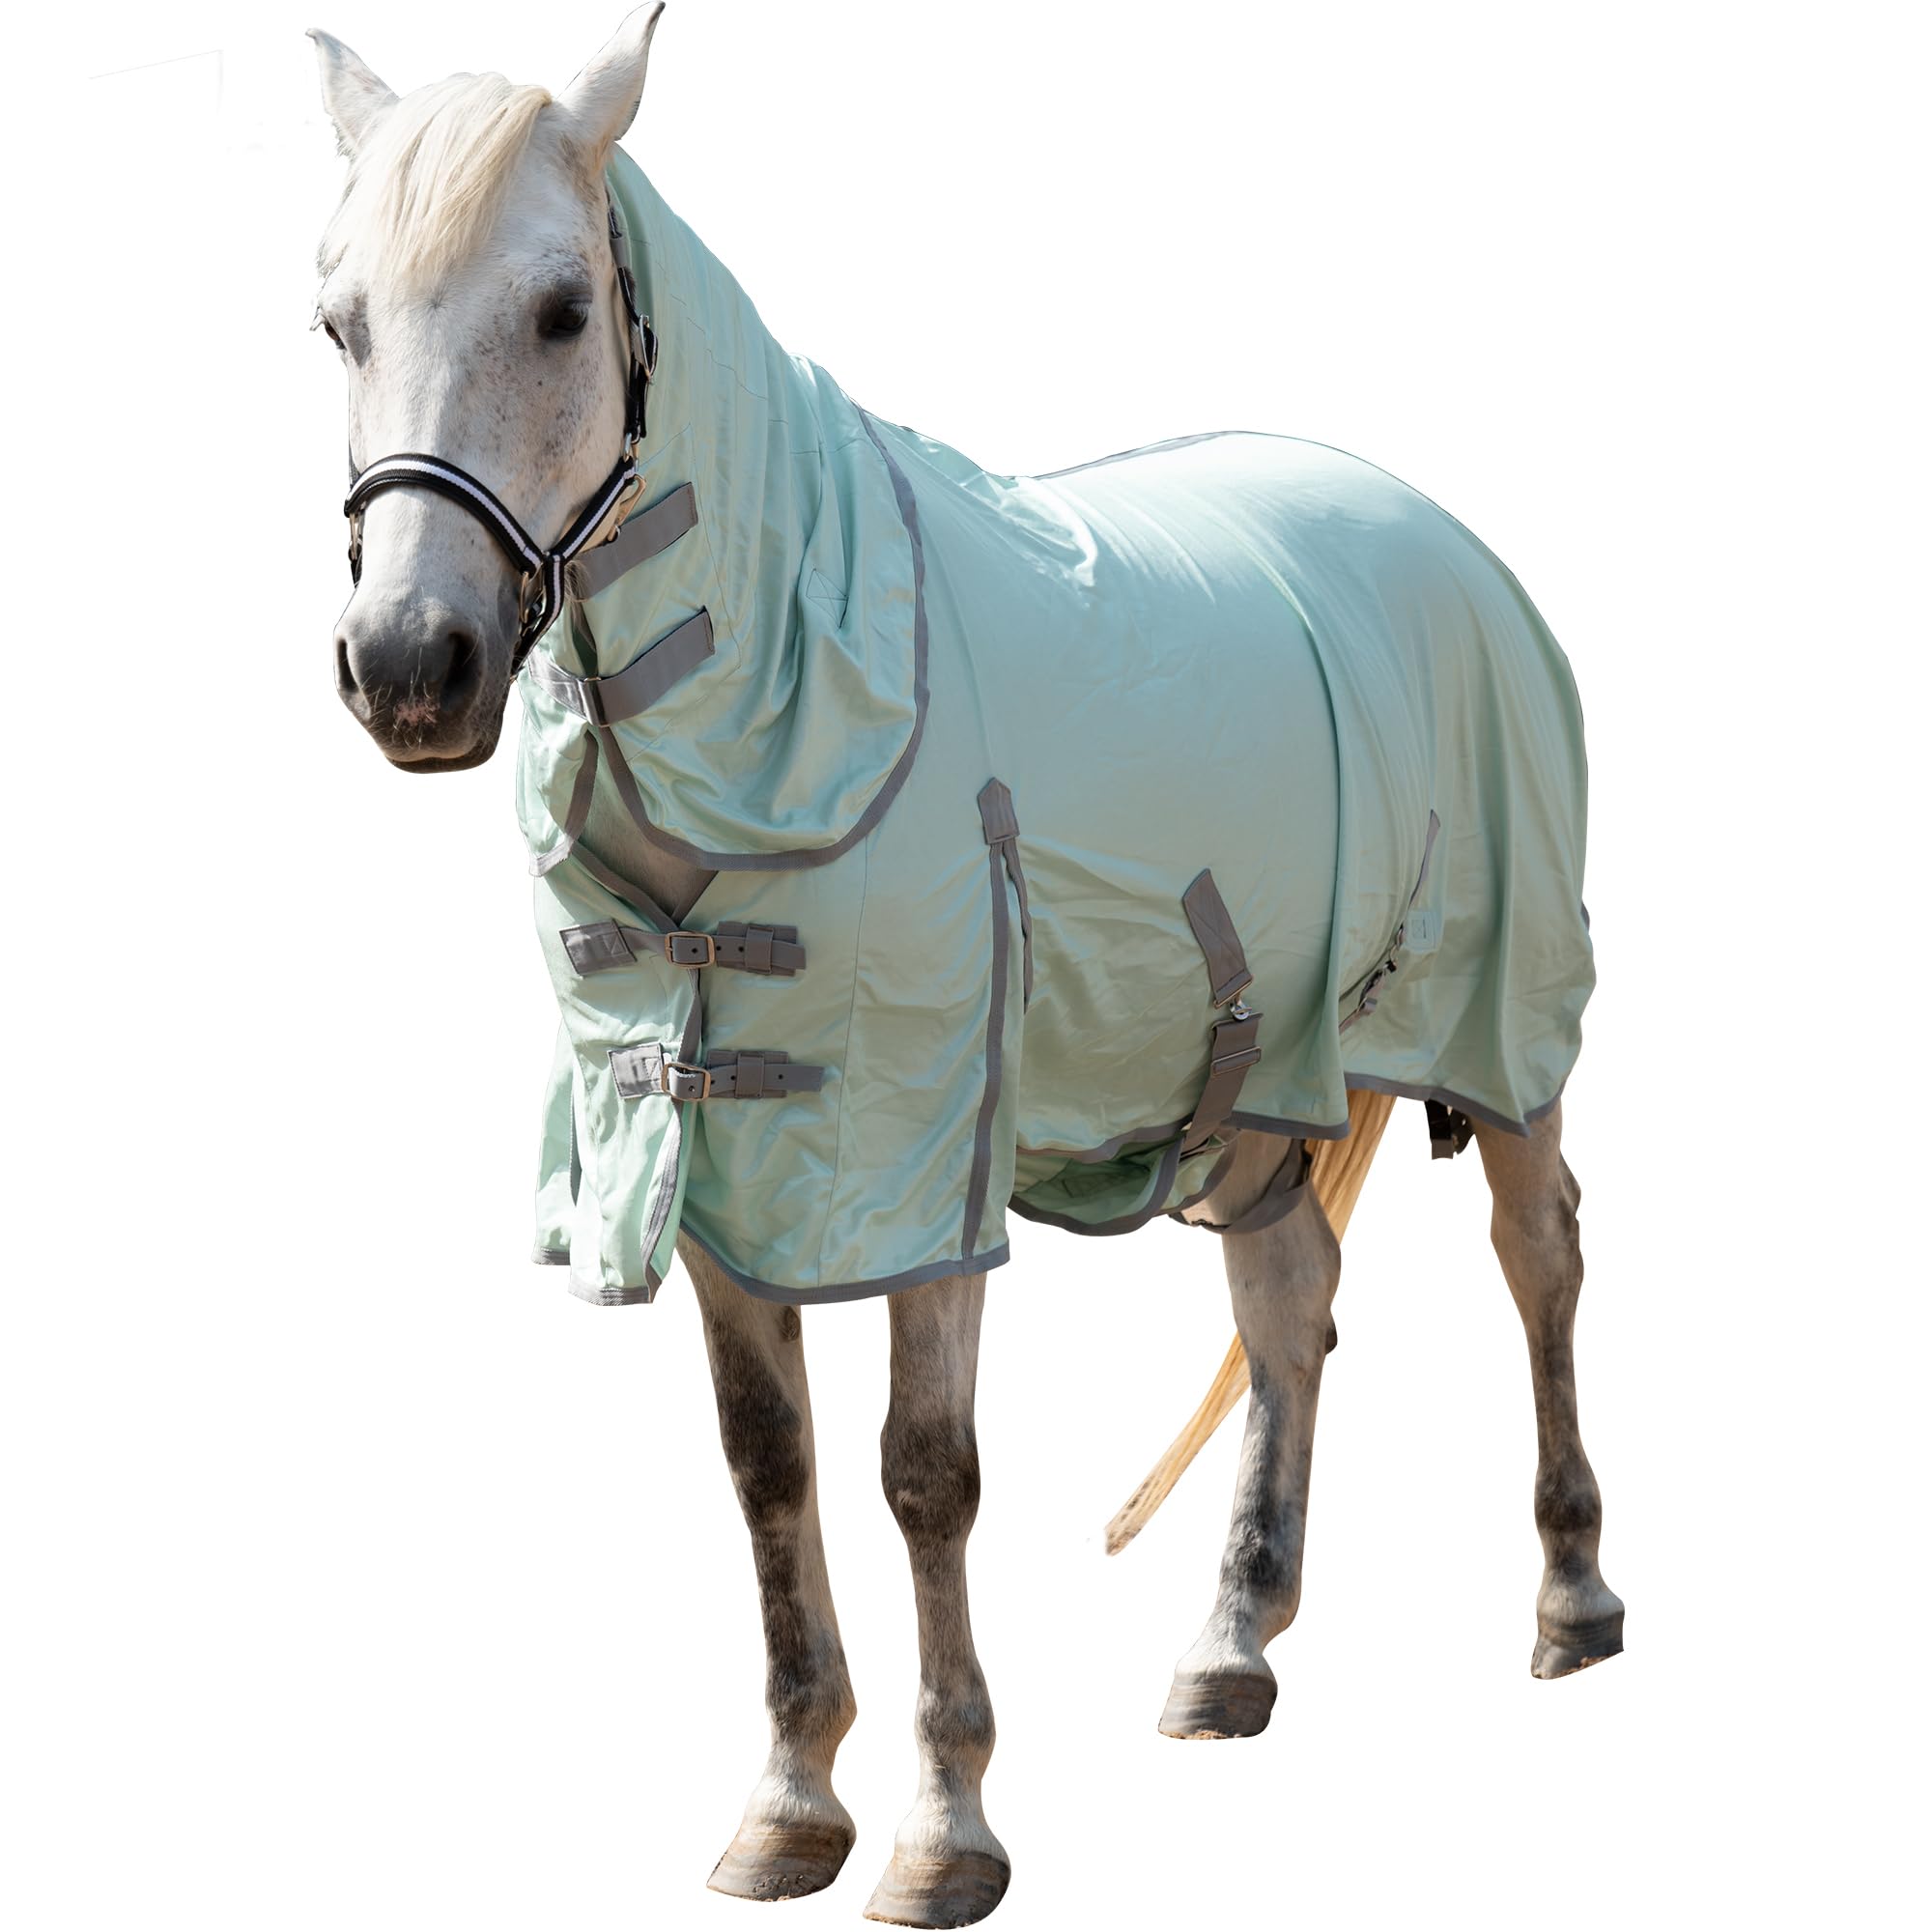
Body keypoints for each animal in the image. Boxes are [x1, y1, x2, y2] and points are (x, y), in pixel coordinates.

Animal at [311, 10, 1623, 1924]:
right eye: (337, 321)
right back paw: (1230, 1646)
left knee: (1539, 1260)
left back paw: (1570, 1598)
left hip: (1502, 1019)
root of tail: (1430, 525)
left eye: (560, 309)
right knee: (1285, 1297)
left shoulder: (920, 1153)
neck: (804, 689)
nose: (413, 665)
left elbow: (924, 1474)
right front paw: (790, 1802)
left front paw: (943, 1831)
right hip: (1262, 1063)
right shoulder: (717, 1161)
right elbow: (768, 1466)